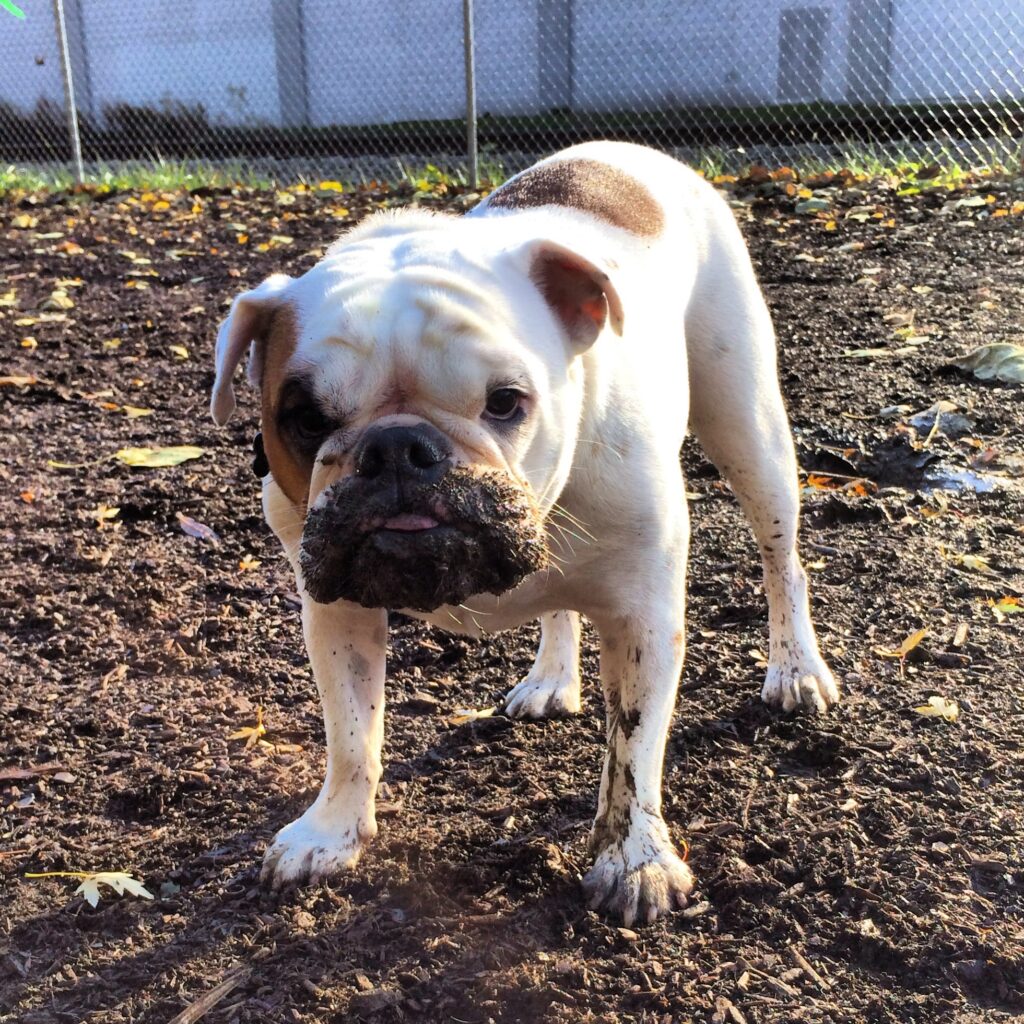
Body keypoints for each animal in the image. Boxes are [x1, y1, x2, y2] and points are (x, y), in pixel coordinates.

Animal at [209, 140, 839, 925]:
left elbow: (633, 749)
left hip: (749, 430)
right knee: (559, 602)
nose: (398, 449)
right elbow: (351, 734)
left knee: (781, 560)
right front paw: (331, 832)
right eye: (303, 417)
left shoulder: (644, 619)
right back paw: (551, 678)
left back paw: (796, 668)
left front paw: (635, 858)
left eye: (507, 402)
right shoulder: (337, 614)